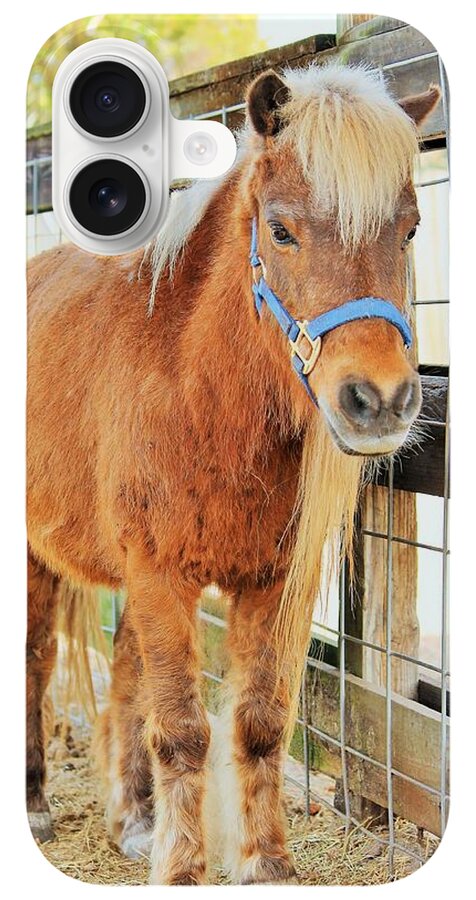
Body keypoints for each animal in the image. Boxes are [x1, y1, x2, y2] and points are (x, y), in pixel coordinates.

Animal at [26, 62, 440, 884]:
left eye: (409, 229)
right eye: (279, 229)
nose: (379, 401)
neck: (199, 391)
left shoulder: (271, 583)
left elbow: (258, 723)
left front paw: (265, 865)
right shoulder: (160, 574)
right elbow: (184, 730)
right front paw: (184, 870)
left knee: (127, 677)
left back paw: (134, 820)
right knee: (35, 660)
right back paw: (34, 803)